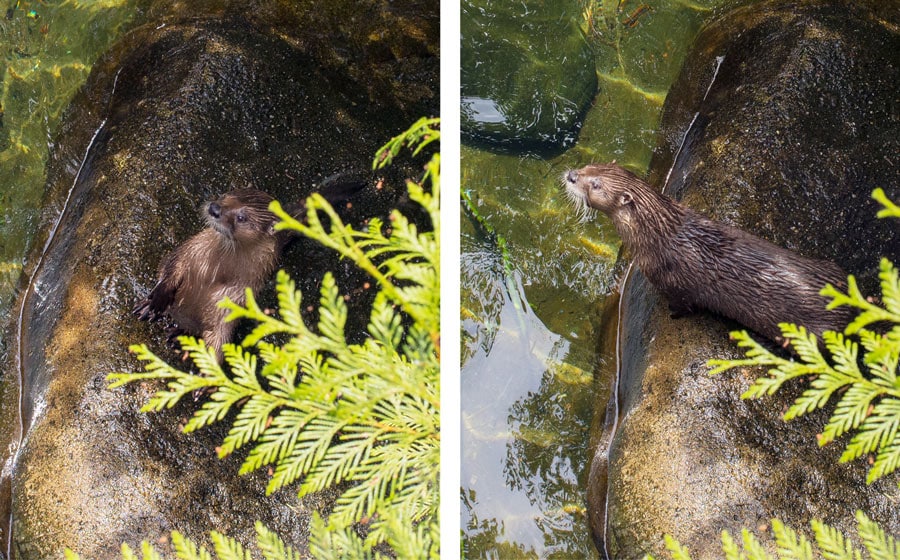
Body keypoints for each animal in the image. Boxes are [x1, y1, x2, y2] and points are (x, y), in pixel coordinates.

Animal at [568, 162, 856, 342]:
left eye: (595, 184)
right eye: (588, 166)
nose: (571, 175)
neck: (659, 237)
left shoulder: (674, 284)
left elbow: (683, 305)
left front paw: (672, 314)